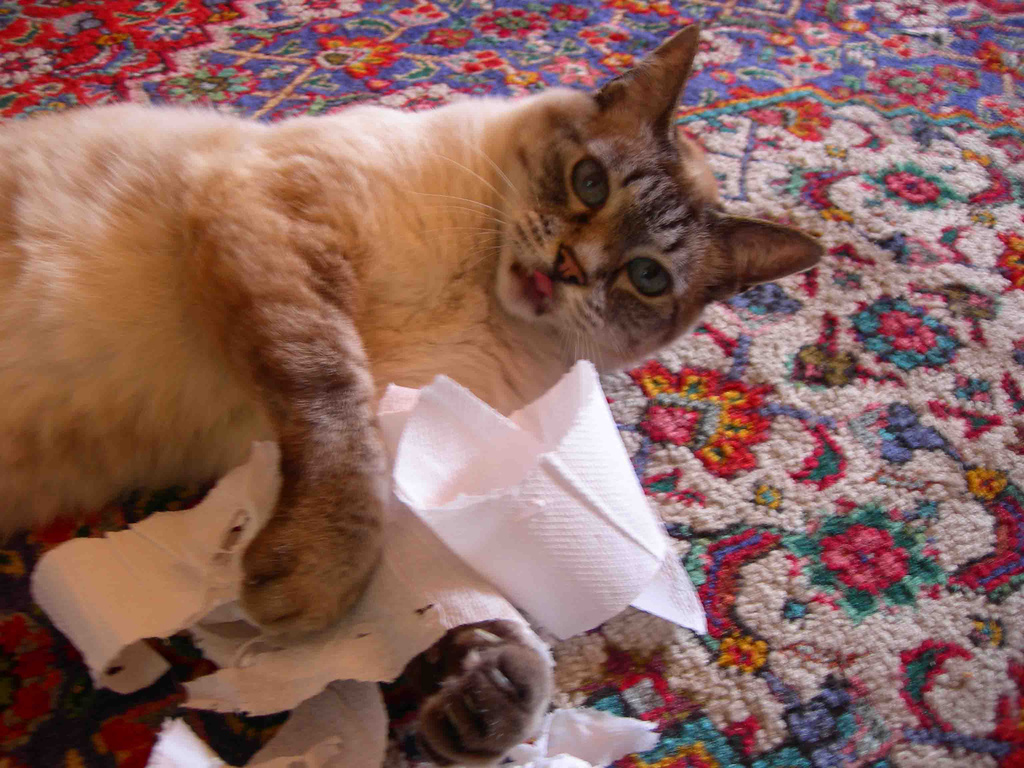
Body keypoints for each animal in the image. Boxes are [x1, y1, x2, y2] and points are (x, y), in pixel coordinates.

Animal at [0, 24, 821, 765]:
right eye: (590, 182)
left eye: (646, 276)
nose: (568, 267)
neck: (479, 294)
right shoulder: (282, 245)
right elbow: (336, 409)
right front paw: (315, 587)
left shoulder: (423, 442)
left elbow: (448, 597)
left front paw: (492, 699)